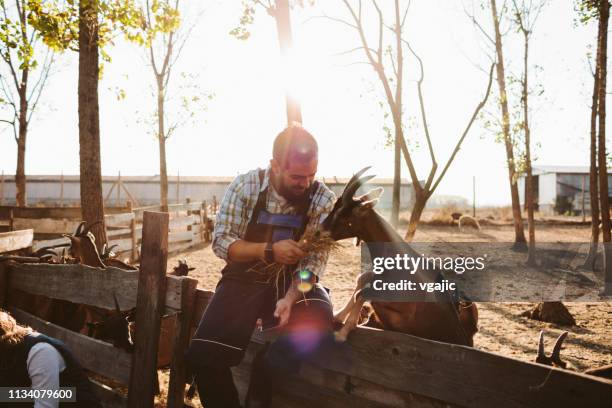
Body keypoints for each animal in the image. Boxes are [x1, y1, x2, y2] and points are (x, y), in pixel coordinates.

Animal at [320, 167, 478, 346]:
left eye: (345, 215)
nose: (320, 229)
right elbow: (361, 282)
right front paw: (337, 317)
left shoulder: (400, 311)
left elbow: (363, 293)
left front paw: (342, 332)